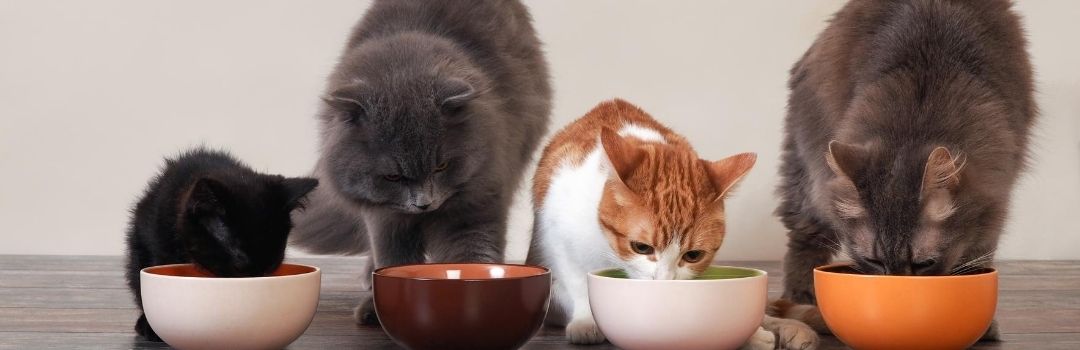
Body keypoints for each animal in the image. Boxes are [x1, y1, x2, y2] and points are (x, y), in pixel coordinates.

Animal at [291, 0, 552, 324]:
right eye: (393, 177)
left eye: (441, 167)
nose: (423, 203)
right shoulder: (385, 217)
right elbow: (392, 257)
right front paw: (376, 305)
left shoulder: (475, 203)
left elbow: (472, 253)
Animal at [527, 99, 756, 343]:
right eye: (641, 247)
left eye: (693, 255)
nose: (664, 281)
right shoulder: (559, 237)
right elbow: (578, 282)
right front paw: (586, 320)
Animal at [773, 0, 1032, 339]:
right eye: (873, 260)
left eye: (925, 264)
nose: (897, 291)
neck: (919, 115)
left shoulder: (996, 198)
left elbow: (980, 253)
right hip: (807, 179)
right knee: (803, 239)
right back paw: (802, 299)